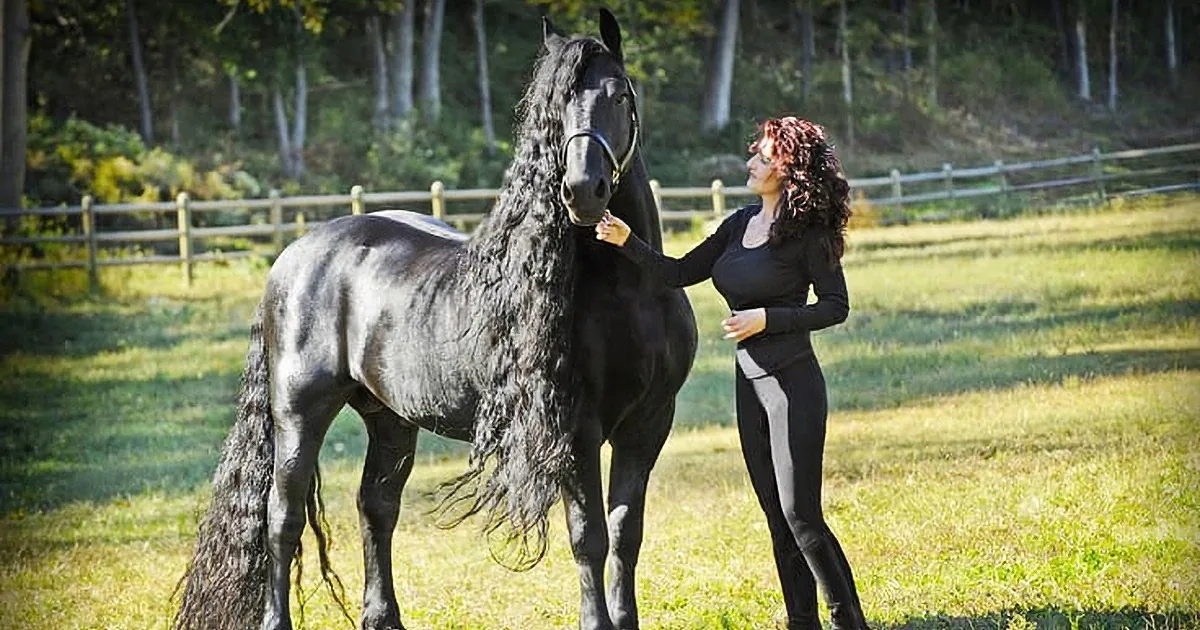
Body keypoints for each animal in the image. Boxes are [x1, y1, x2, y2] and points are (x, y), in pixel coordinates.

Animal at [172, 9, 696, 630]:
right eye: (552, 110)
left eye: (618, 94)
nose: (581, 191)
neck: (630, 291)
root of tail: (293, 256)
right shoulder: (574, 429)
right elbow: (588, 536)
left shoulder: (648, 423)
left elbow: (624, 533)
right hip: (299, 412)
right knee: (283, 517)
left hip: (390, 418)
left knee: (376, 507)